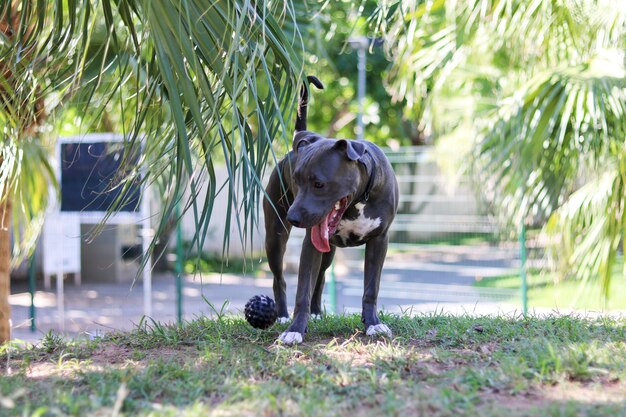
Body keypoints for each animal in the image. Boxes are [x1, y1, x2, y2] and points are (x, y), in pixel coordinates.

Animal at [262, 76, 398, 342]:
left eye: (319, 184)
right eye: (296, 180)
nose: (292, 217)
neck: (359, 199)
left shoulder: (380, 240)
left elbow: (371, 287)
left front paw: (373, 324)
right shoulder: (309, 244)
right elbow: (302, 289)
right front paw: (295, 329)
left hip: (329, 251)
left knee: (322, 276)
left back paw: (316, 312)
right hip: (275, 236)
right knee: (279, 278)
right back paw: (282, 314)